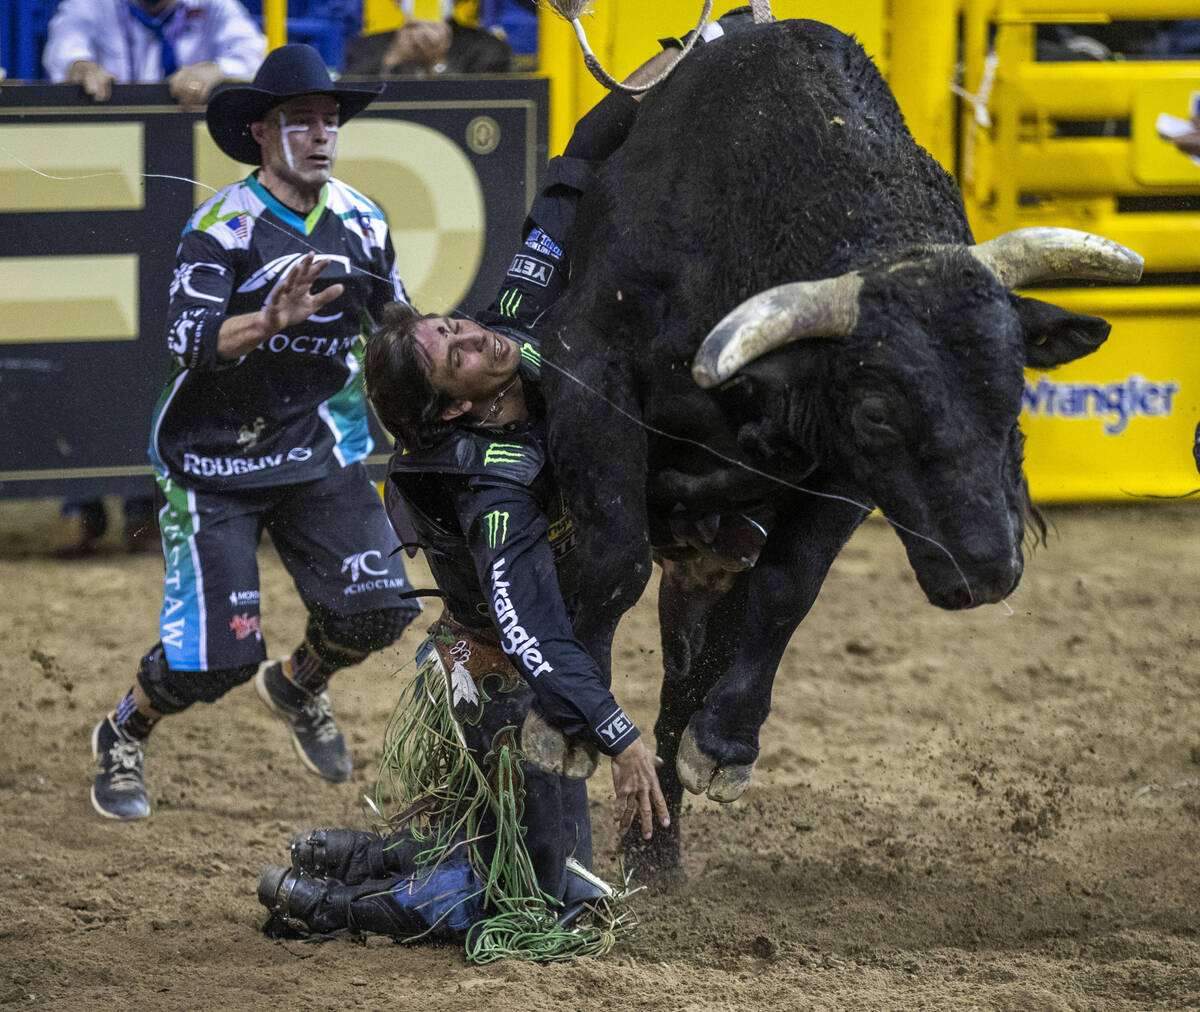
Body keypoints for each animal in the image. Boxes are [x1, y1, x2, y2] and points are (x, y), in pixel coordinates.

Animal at [537, 15, 1142, 873]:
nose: (989, 568)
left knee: (686, 673)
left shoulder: (841, 473)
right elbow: (611, 559)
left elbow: (789, 585)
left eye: (1015, 385)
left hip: (707, 563)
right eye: (880, 413)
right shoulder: (588, 371)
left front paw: (725, 747)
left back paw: (657, 854)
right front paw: (566, 729)